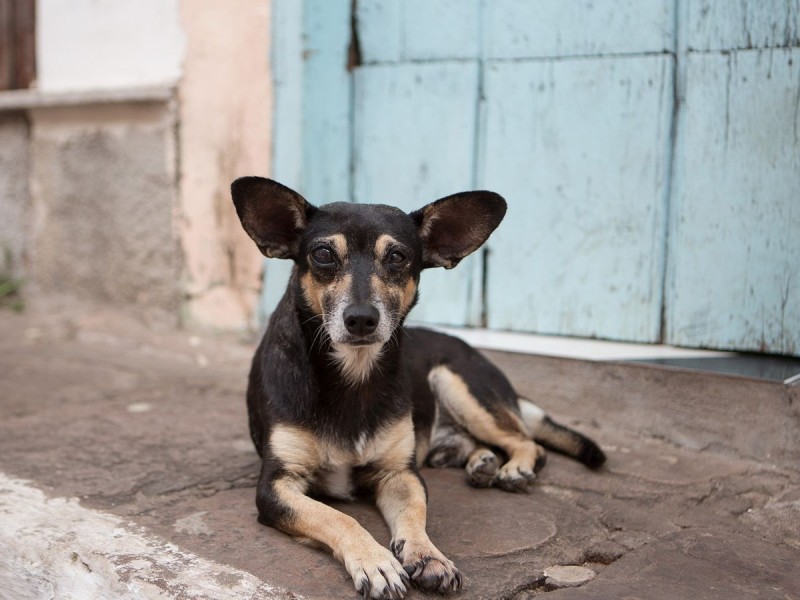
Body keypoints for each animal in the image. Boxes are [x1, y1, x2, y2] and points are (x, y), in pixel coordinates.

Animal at [231, 178, 608, 600]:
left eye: (397, 257)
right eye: (323, 254)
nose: (360, 318)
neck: (354, 375)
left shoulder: (401, 474)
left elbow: (414, 515)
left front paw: (429, 556)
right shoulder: (276, 486)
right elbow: (337, 517)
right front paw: (376, 561)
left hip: (457, 383)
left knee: (527, 440)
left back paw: (514, 467)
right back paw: (482, 463)